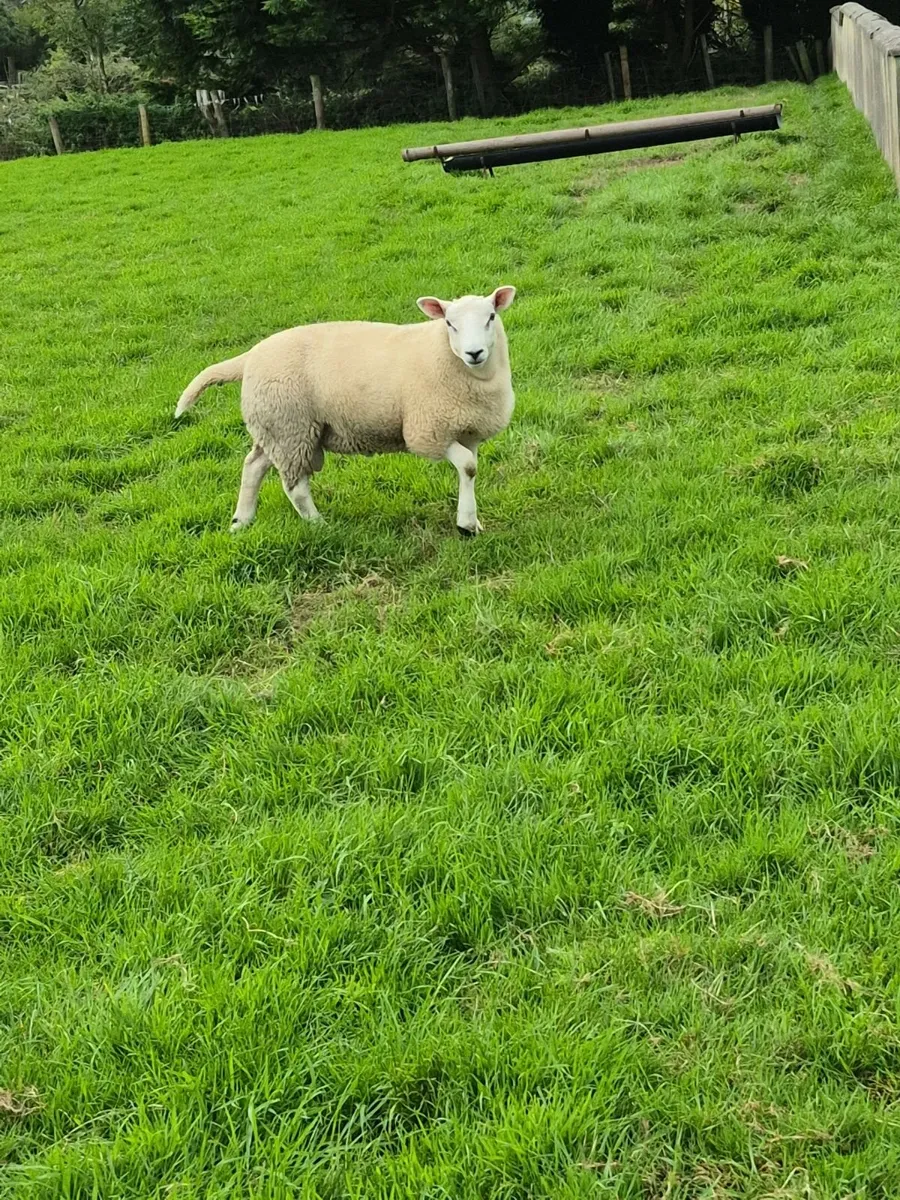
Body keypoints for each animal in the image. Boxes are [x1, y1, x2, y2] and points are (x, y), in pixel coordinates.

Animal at [174, 286, 516, 536]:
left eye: (490, 317)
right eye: (449, 324)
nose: (474, 353)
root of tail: (250, 356)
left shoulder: (468, 430)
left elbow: (469, 468)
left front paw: (471, 521)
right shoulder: (428, 431)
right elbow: (468, 465)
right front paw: (467, 525)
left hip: (276, 427)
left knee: (253, 465)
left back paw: (241, 521)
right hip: (291, 428)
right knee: (295, 486)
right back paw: (318, 524)